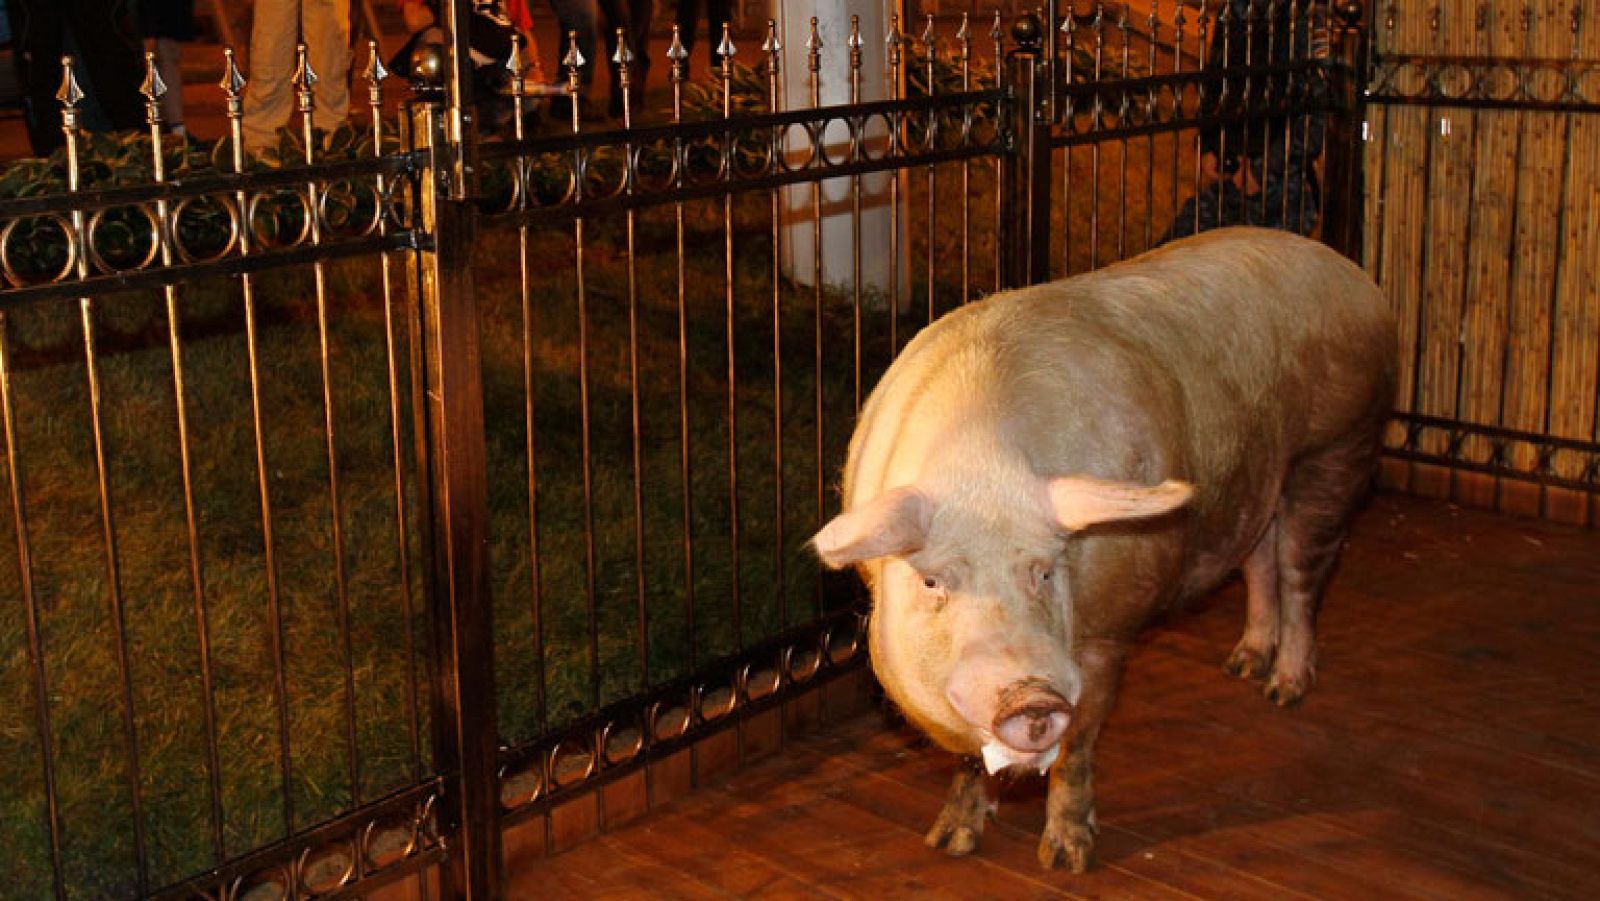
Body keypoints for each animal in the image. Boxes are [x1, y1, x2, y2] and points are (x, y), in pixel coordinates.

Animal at [812, 227, 1396, 872]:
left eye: (1045, 572)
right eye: (933, 581)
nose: (1029, 696)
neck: (983, 472)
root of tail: (1351, 273)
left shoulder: (1109, 629)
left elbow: (1078, 747)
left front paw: (1066, 858)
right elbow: (968, 758)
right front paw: (949, 842)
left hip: (1340, 447)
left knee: (1300, 574)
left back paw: (1284, 691)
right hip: (1259, 477)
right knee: (1260, 558)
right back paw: (1242, 664)